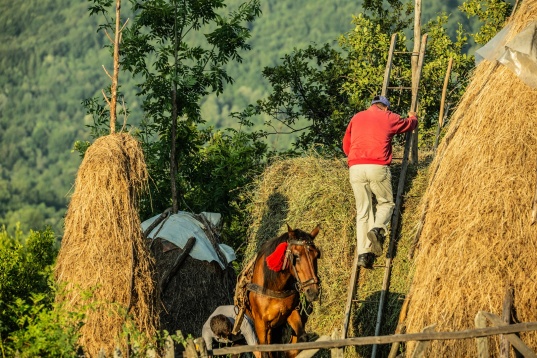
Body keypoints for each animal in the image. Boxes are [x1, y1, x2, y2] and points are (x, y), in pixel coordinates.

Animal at [245, 225, 320, 356]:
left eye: (317, 255)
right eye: (296, 256)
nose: (313, 292)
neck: (274, 287)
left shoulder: (291, 312)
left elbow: (301, 338)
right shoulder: (260, 324)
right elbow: (265, 351)